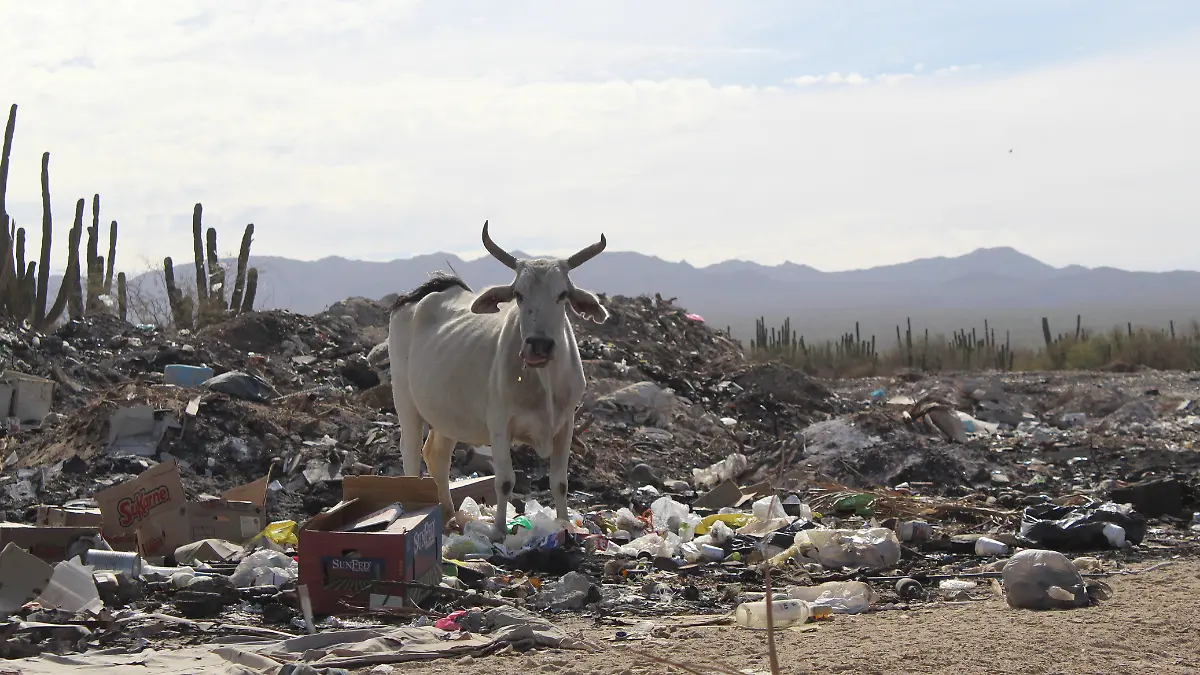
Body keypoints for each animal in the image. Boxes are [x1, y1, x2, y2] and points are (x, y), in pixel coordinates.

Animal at [387, 221, 609, 542]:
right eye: (519, 294)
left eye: (562, 294)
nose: (539, 345)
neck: (543, 382)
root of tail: (421, 295)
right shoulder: (499, 424)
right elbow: (504, 480)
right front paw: (499, 531)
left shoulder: (565, 425)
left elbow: (560, 482)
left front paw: (565, 525)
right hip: (405, 401)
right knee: (411, 453)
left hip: (448, 414)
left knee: (437, 456)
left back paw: (450, 515)